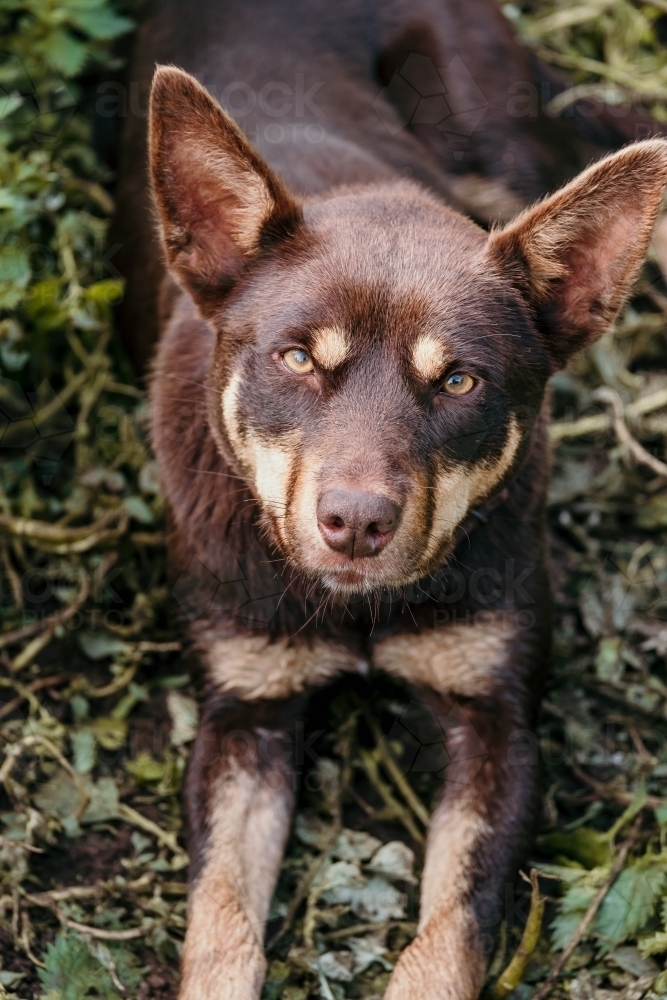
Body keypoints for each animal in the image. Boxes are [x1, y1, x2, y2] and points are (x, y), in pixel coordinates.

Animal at [112, 1, 667, 1000]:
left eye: (457, 381)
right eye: (296, 358)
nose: (355, 524)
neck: (358, 607)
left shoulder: (494, 724)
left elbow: (449, 934)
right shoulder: (244, 718)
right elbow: (220, 923)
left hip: (495, 140)